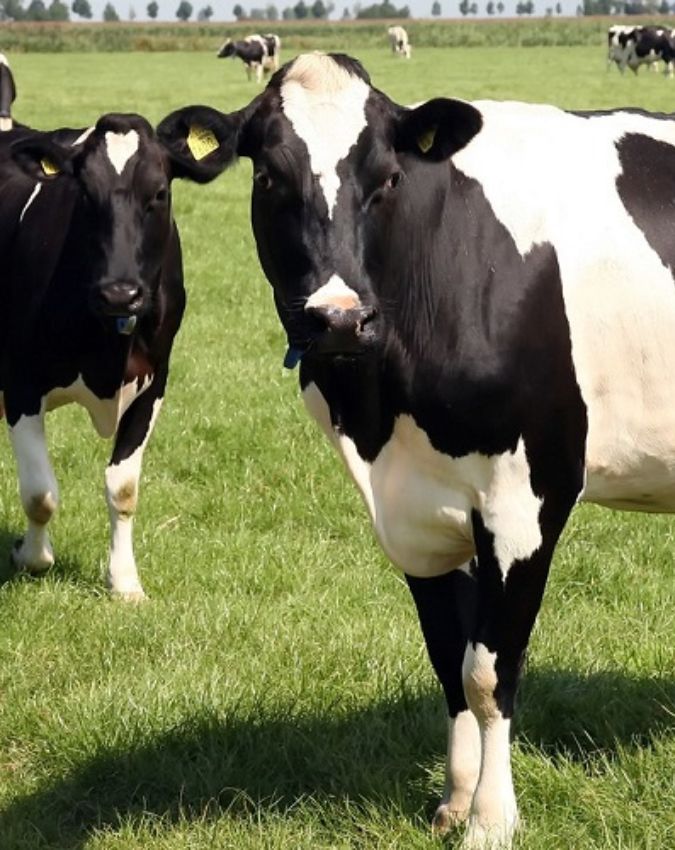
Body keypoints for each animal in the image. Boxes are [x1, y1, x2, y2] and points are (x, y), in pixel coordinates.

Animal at [0, 93, 228, 600]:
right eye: (85, 194)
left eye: (159, 192)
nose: (120, 293)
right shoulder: (20, 383)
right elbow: (40, 494)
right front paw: (31, 555)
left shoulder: (154, 384)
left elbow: (123, 489)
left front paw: (124, 581)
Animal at [158, 52, 675, 847]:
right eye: (268, 175)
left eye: (390, 177)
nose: (339, 318)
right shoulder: (413, 509)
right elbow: (446, 658)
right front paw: (455, 798)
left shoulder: (527, 497)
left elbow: (489, 673)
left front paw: (491, 818)